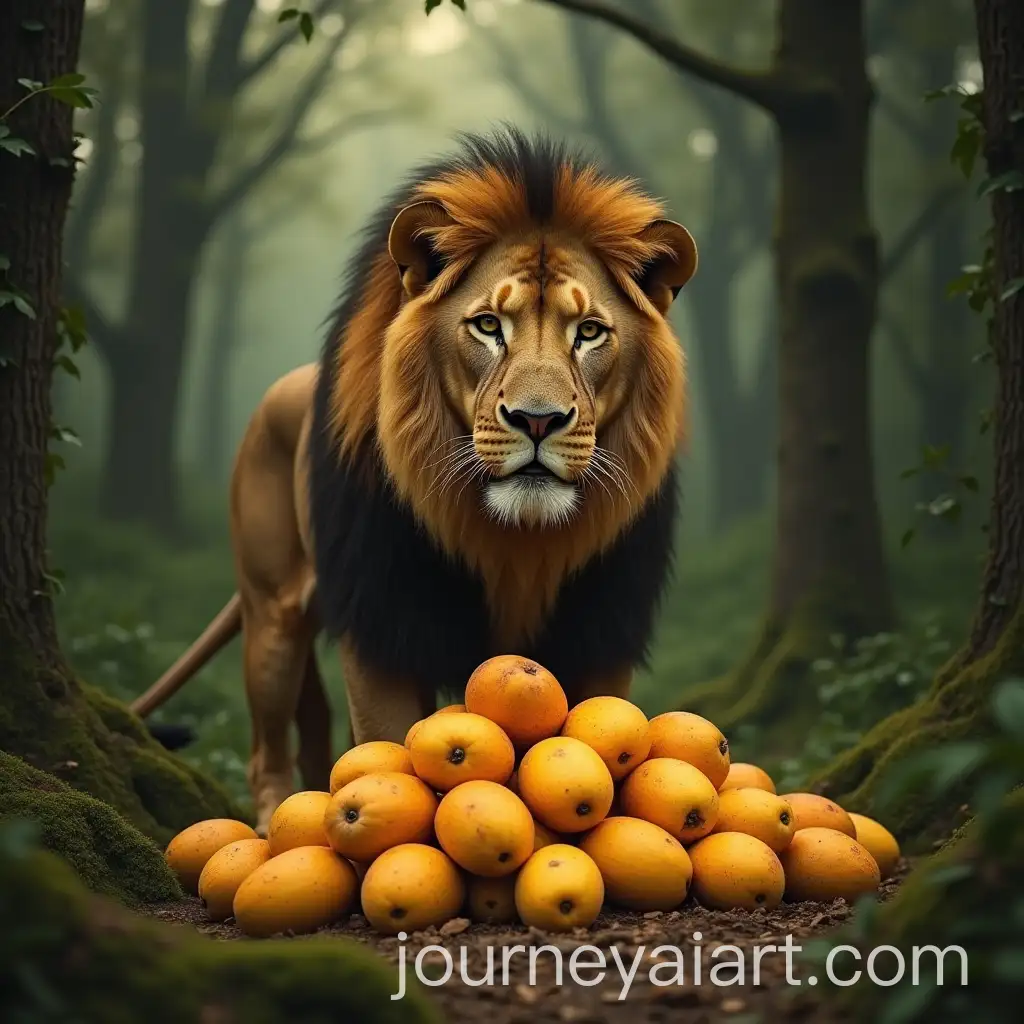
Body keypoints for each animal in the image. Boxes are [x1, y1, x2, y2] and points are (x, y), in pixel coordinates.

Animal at [134, 128, 697, 833]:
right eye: (488, 325)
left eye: (589, 332)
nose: (538, 420)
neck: (513, 542)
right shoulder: (384, 620)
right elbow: (386, 747)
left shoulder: (601, 628)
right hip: (271, 613)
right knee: (267, 739)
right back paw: (270, 821)